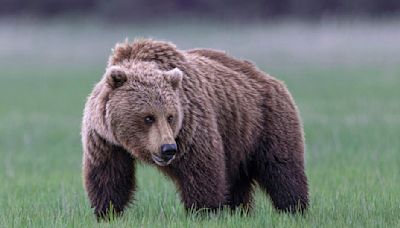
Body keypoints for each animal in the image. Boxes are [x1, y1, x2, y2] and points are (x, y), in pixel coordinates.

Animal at [81, 39, 310, 219]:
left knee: (282, 168)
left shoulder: (190, 127)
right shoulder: (105, 140)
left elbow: (201, 169)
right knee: (237, 179)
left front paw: (203, 211)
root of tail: (272, 79)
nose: (168, 149)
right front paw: (107, 212)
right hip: (237, 139)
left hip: (266, 122)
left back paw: (294, 208)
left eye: (170, 116)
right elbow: (109, 176)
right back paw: (238, 210)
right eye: (148, 117)